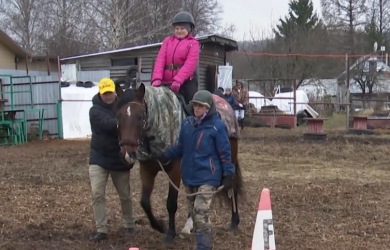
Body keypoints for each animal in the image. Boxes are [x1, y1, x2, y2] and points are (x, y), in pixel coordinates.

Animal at [114, 83, 244, 246]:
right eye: (118, 116)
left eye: (140, 117)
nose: (127, 153)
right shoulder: (146, 170)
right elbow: (144, 202)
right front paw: (160, 226)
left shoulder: (174, 172)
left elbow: (171, 203)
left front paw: (170, 233)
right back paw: (190, 225)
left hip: (229, 159)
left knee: (231, 187)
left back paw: (234, 222)